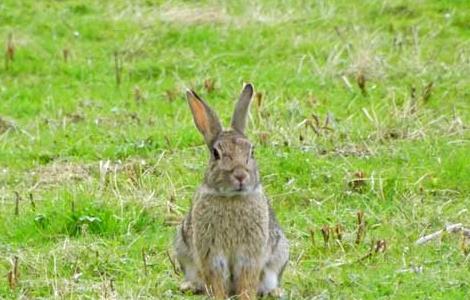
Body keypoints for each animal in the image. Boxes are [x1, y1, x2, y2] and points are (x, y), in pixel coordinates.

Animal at [173, 82, 288, 300]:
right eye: (216, 153)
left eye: (251, 151)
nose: (240, 175)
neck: (232, 197)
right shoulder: (211, 253)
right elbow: (216, 279)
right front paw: (218, 297)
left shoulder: (250, 254)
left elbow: (247, 279)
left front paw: (246, 297)